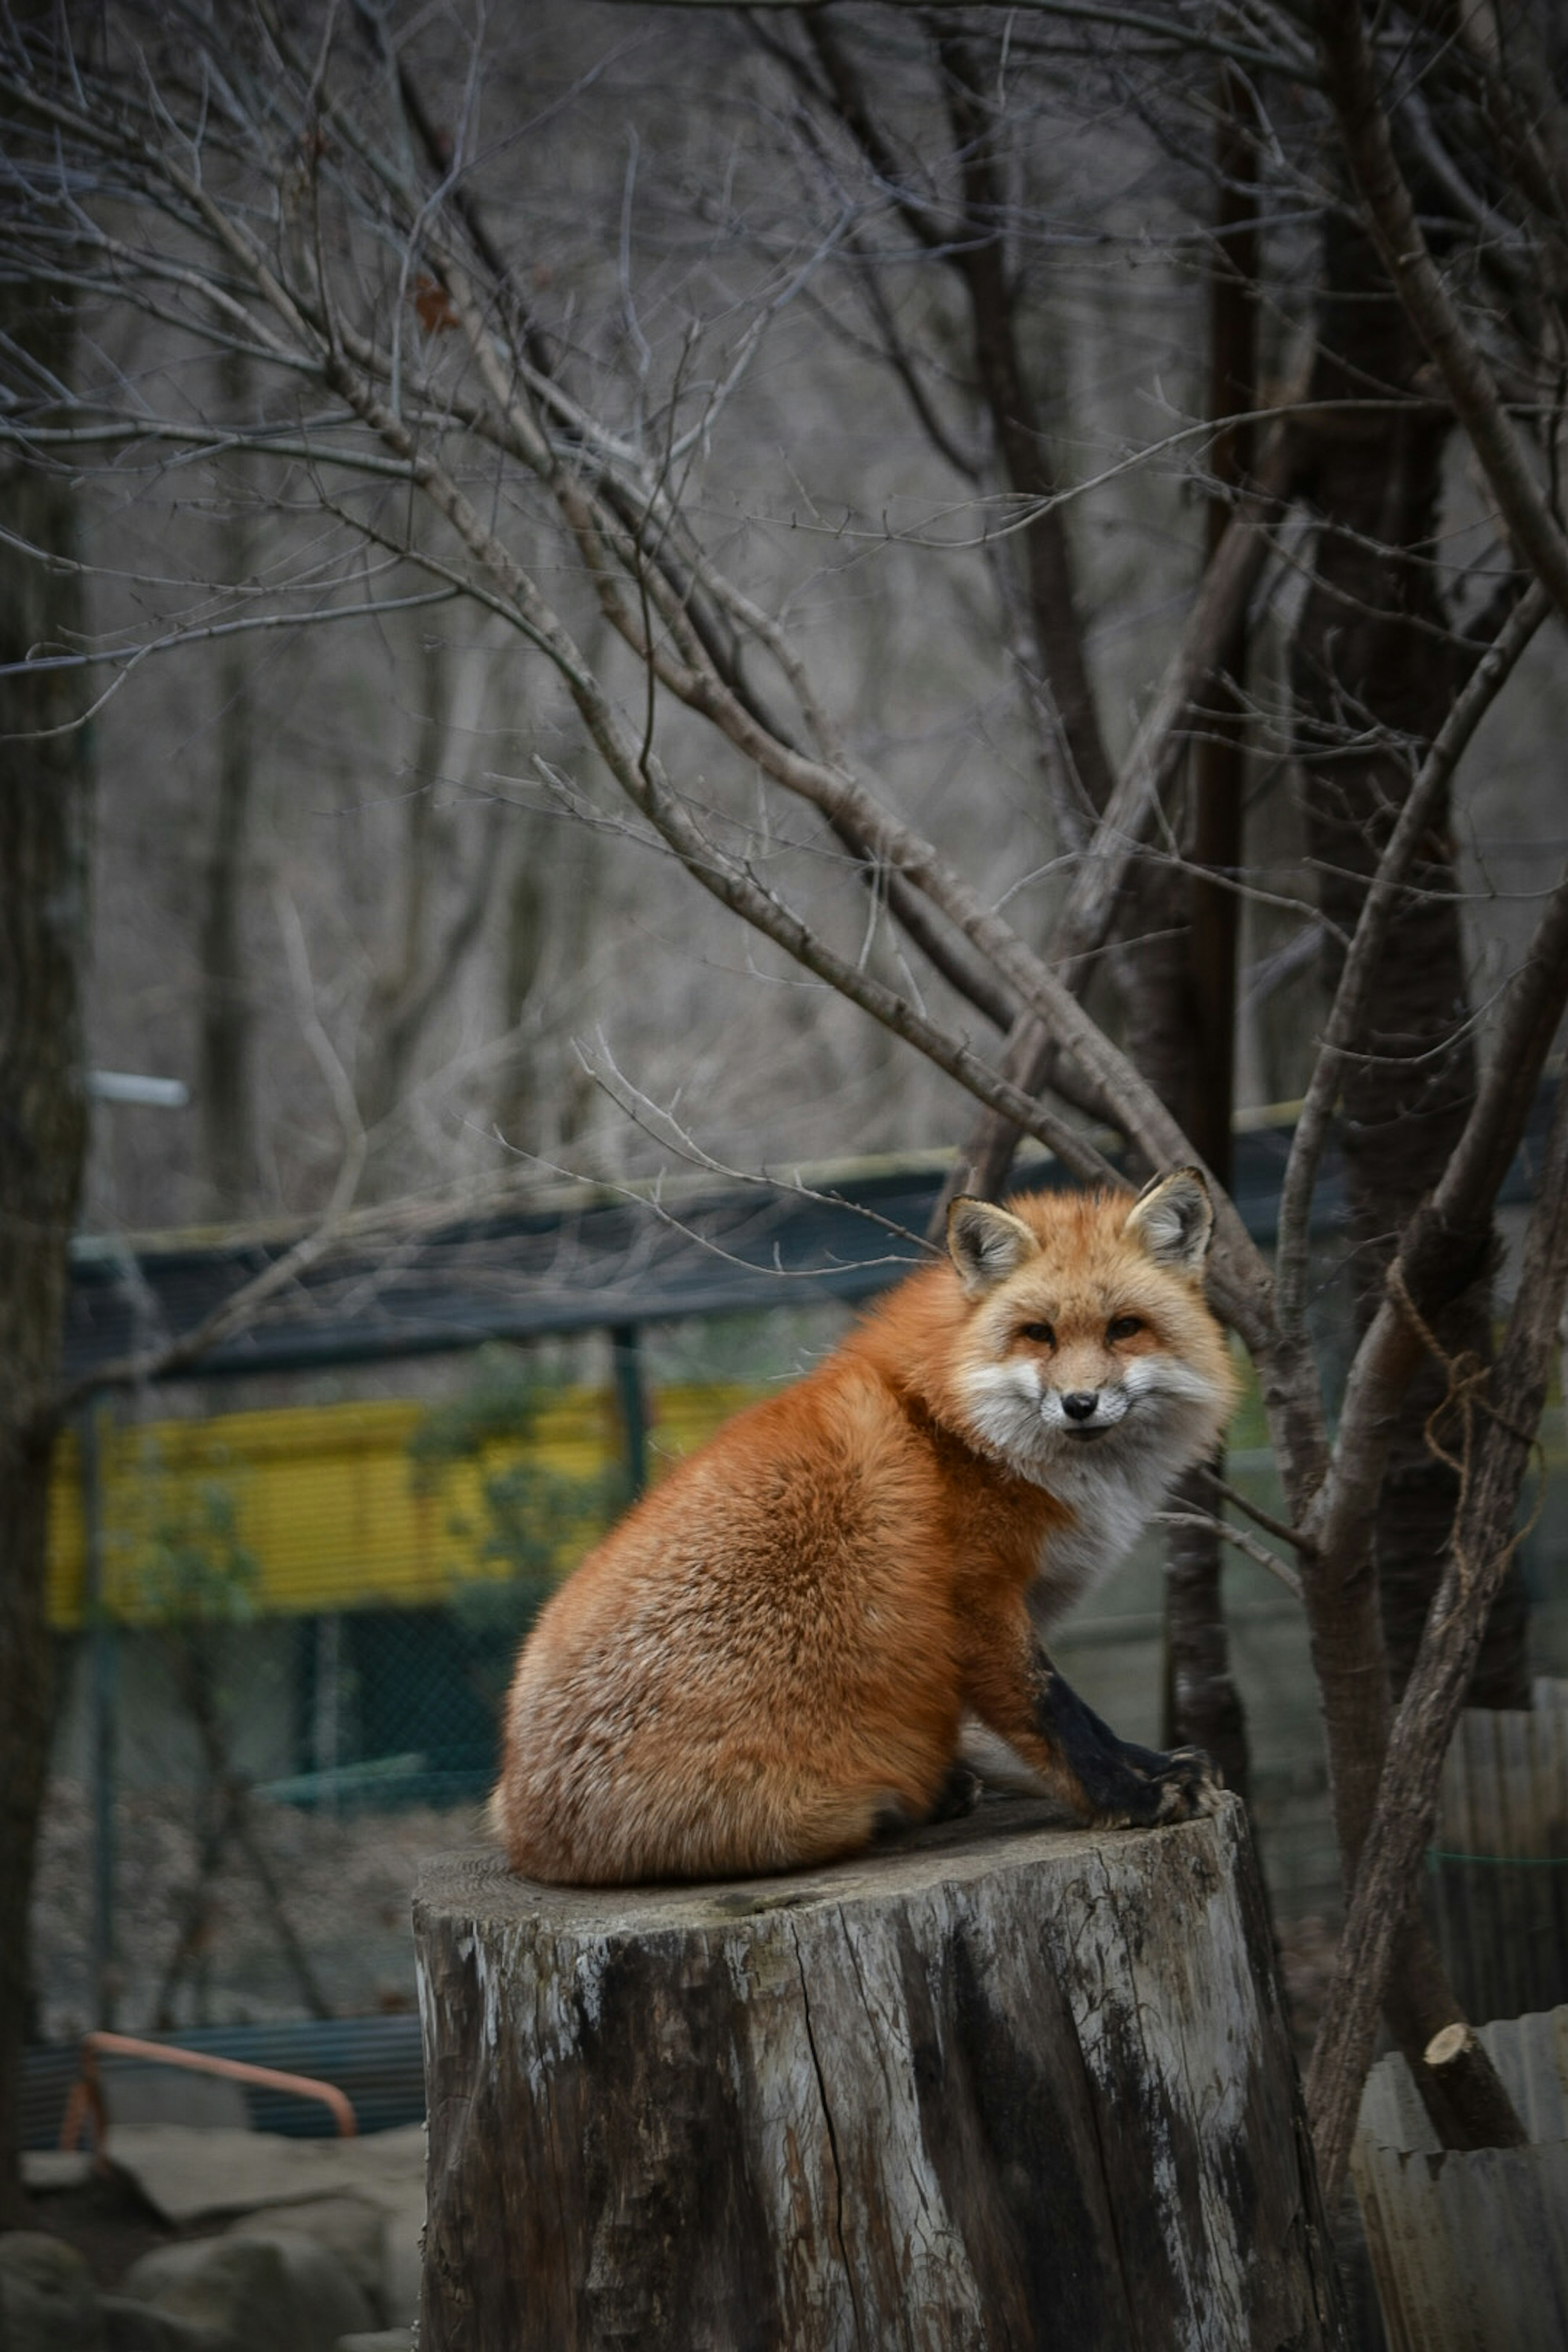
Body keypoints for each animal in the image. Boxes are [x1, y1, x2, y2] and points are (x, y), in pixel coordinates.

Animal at [491, 1166, 1241, 1882]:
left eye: (1124, 1328)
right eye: (1039, 1334)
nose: (1080, 1403)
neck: (959, 1428)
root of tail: (523, 1833)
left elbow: (1075, 1719)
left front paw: (1152, 1766)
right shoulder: (973, 1604)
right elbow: (1052, 1712)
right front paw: (1128, 1797)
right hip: (821, 1801)